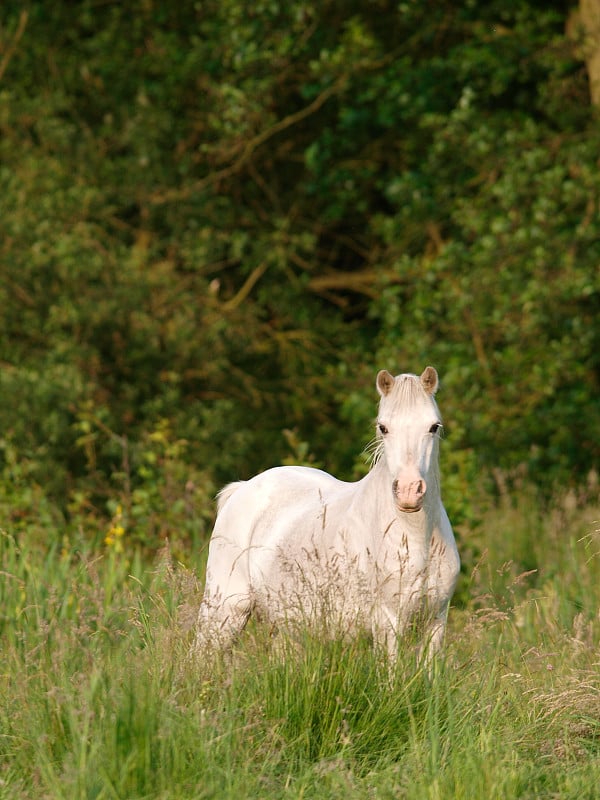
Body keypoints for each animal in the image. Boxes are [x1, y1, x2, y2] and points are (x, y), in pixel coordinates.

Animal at [197, 368, 460, 664]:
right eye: (383, 427)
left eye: (433, 426)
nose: (408, 492)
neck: (417, 537)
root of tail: (243, 488)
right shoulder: (388, 622)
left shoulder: (436, 621)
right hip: (224, 610)